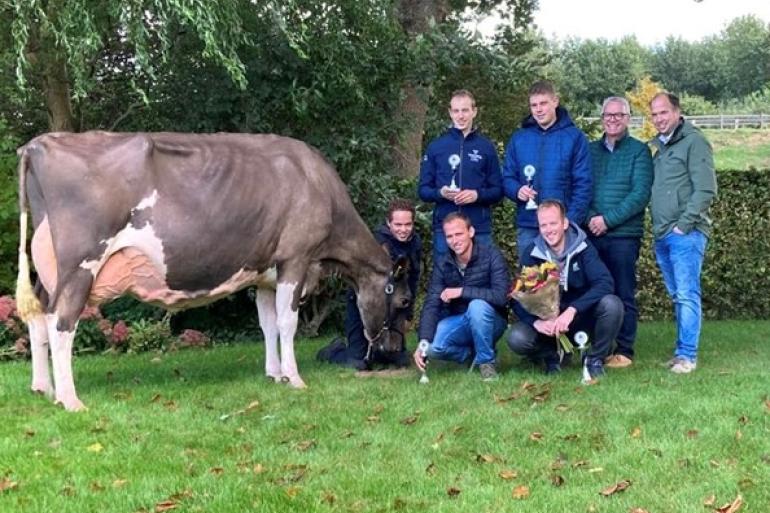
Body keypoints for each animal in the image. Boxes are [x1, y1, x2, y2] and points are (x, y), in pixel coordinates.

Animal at [15, 132, 412, 412]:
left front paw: (275, 374)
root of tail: (39, 143)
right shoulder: (295, 259)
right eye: (404, 300)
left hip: (49, 270)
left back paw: (43, 387)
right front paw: (295, 377)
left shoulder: (264, 274)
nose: (394, 349)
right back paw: (69, 399)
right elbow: (287, 323)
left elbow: (267, 323)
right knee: (61, 322)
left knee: (38, 316)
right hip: (79, 264)